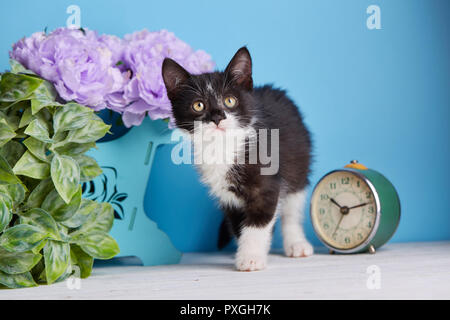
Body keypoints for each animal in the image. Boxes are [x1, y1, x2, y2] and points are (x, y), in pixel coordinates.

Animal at [162, 47, 312, 272]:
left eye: (229, 101)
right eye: (198, 105)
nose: (217, 117)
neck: (223, 147)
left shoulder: (265, 186)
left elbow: (258, 222)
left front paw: (251, 258)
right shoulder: (227, 196)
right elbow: (239, 225)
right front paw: (250, 251)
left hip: (299, 167)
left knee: (292, 209)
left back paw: (296, 243)